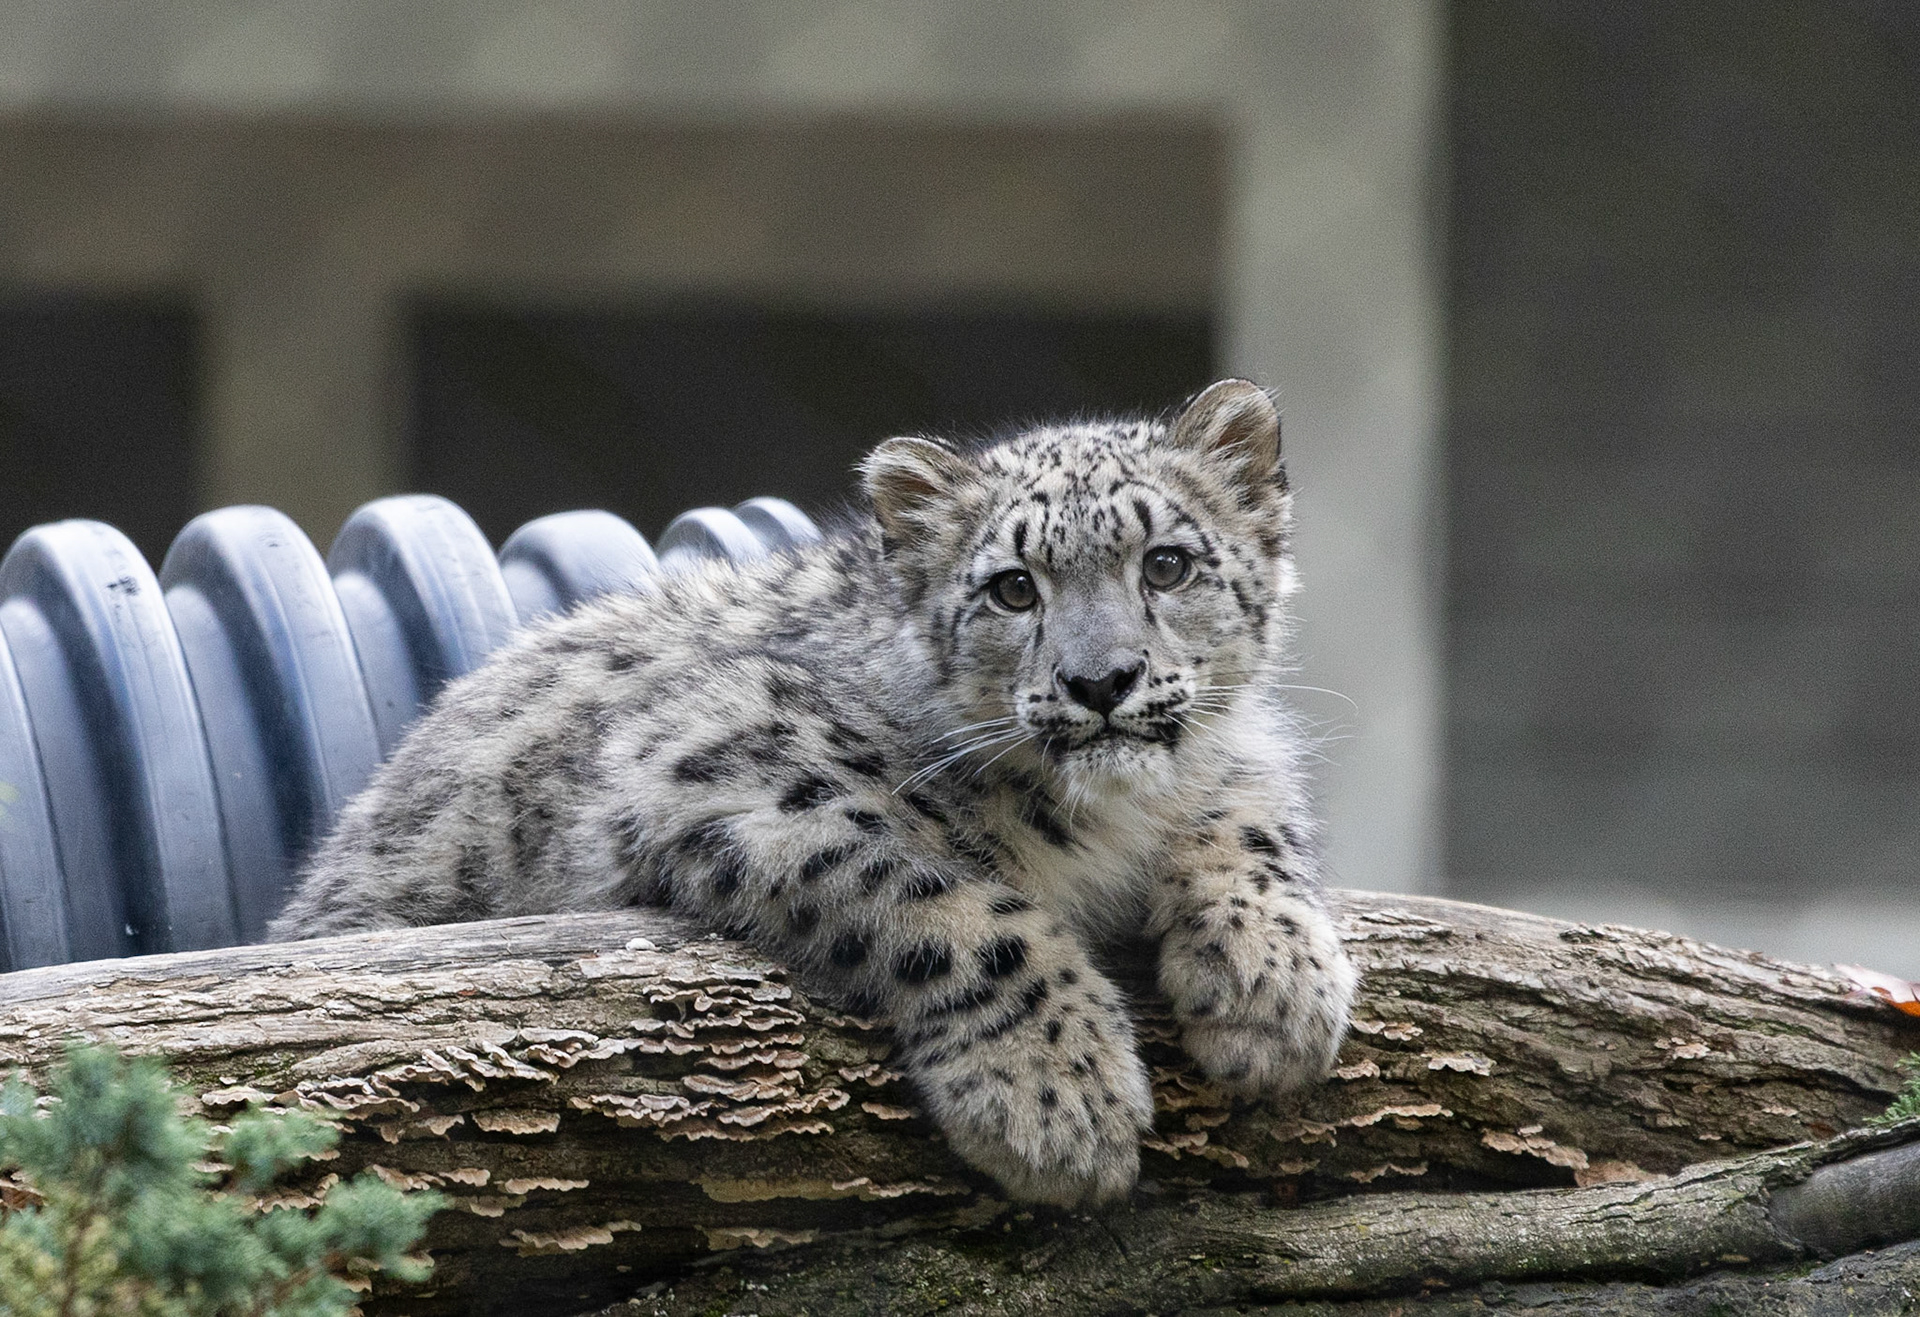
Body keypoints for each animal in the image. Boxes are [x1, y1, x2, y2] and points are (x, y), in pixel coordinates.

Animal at [270, 378, 1358, 1208]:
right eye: (1013, 587)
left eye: (1167, 564)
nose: (1102, 681)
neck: (1110, 812)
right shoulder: (721, 763)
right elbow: (949, 898)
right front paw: (1059, 1101)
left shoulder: (1237, 758)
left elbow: (1254, 817)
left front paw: (1272, 995)